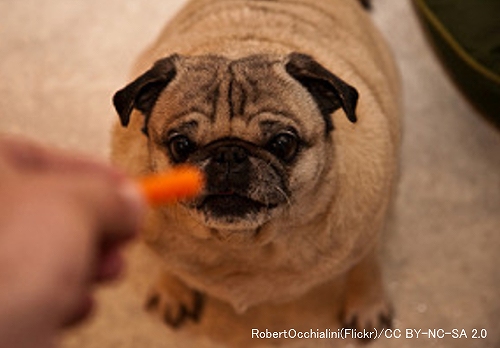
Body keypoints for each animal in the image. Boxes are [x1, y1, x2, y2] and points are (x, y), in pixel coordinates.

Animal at [111, 0, 400, 334]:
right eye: (180, 145)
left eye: (283, 143)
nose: (229, 154)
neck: (242, 244)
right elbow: (170, 262)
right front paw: (173, 289)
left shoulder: (367, 232)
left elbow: (366, 265)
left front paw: (367, 303)